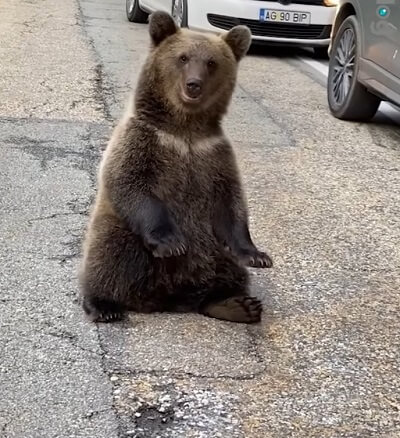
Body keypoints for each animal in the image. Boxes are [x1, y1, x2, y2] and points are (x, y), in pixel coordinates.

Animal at [78, 11, 272, 326]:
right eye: (182, 58)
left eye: (211, 62)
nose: (194, 84)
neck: (185, 131)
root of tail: (168, 299)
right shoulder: (144, 141)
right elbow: (130, 182)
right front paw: (172, 243)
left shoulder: (215, 154)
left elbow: (231, 203)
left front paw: (257, 255)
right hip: (121, 231)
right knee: (107, 257)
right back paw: (104, 305)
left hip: (211, 248)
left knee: (227, 271)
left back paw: (235, 304)